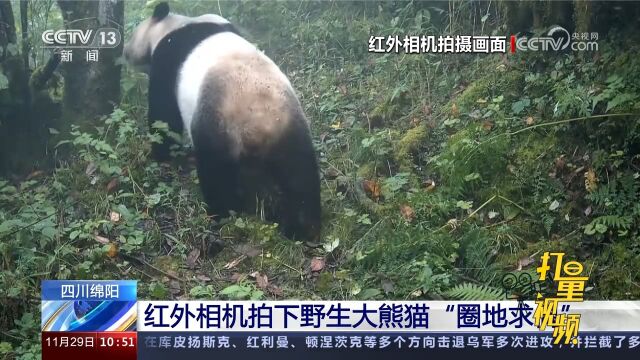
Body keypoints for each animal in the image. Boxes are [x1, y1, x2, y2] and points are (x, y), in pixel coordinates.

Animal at [122, 2, 320, 242]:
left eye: (132, 36)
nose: (125, 52)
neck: (174, 25)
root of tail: (258, 123)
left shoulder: (167, 59)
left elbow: (164, 114)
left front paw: (161, 153)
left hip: (216, 126)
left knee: (216, 172)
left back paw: (223, 213)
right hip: (289, 128)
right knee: (300, 176)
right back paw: (302, 227)